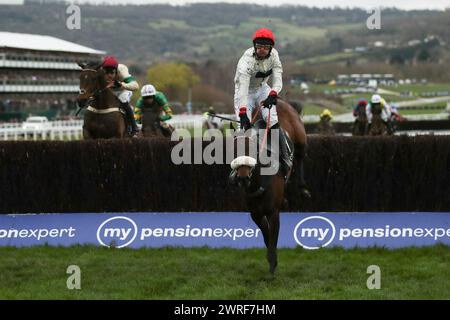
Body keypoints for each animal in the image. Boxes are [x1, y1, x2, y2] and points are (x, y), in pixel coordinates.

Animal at [229, 99, 310, 272]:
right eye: (233, 150)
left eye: (253, 149)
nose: (243, 178)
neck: (258, 183)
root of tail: (281, 101)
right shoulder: (256, 214)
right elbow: (267, 236)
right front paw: (272, 259)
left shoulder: (273, 212)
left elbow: (273, 237)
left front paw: (273, 264)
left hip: (300, 137)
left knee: (300, 155)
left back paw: (302, 188)